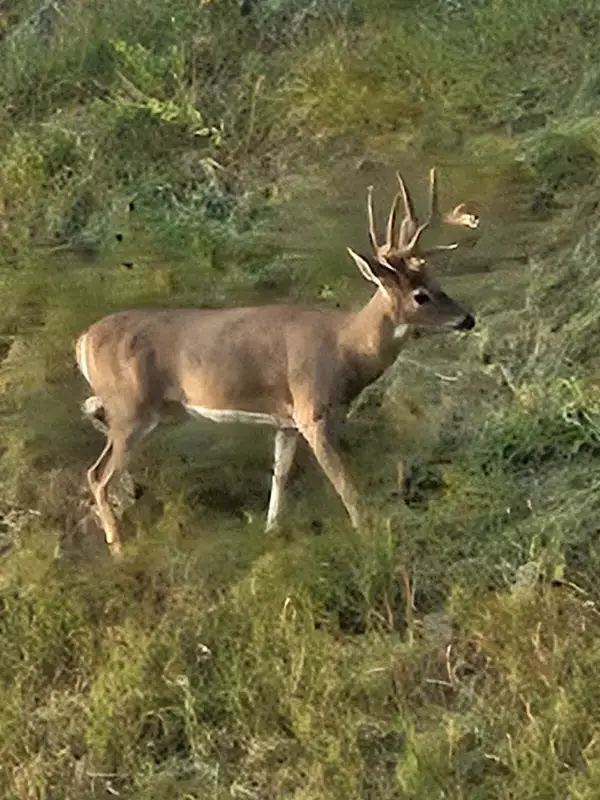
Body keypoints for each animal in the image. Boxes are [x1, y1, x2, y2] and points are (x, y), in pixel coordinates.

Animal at [76, 167, 478, 556]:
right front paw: (368, 533)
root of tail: (83, 340)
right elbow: (344, 483)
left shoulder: (285, 422)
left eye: (436, 280)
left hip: (153, 412)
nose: (468, 319)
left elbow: (279, 475)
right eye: (421, 295)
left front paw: (272, 530)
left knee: (93, 417)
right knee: (97, 474)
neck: (345, 348)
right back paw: (118, 548)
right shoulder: (312, 411)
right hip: (133, 409)